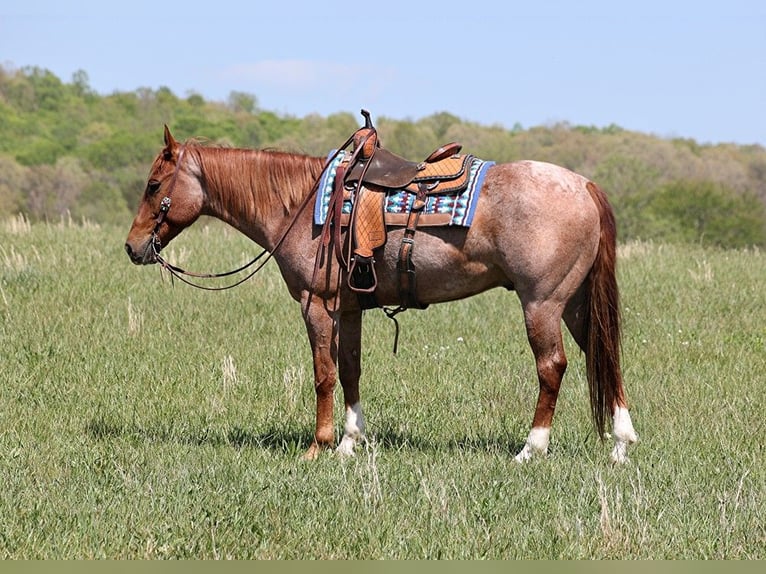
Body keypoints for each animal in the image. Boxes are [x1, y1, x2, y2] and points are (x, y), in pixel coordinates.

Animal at [127, 125, 640, 464]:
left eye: (153, 186)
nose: (133, 247)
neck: (299, 205)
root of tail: (584, 185)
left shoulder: (316, 305)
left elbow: (323, 374)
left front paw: (318, 446)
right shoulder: (350, 308)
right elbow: (351, 371)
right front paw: (349, 443)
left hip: (542, 304)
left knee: (552, 367)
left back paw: (531, 449)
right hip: (575, 305)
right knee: (604, 354)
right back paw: (620, 445)